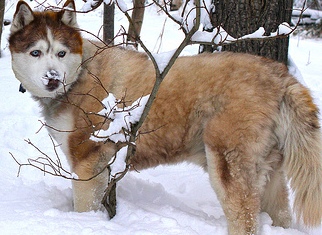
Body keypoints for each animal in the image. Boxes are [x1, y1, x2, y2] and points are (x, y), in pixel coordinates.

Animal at [8, 0, 322, 234]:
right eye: (36, 52)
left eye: (61, 53)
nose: (52, 78)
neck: (81, 74)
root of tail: (280, 76)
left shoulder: (87, 160)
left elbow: (85, 204)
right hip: (270, 174)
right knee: (280, 212)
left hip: (227, 166)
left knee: (244, 217)